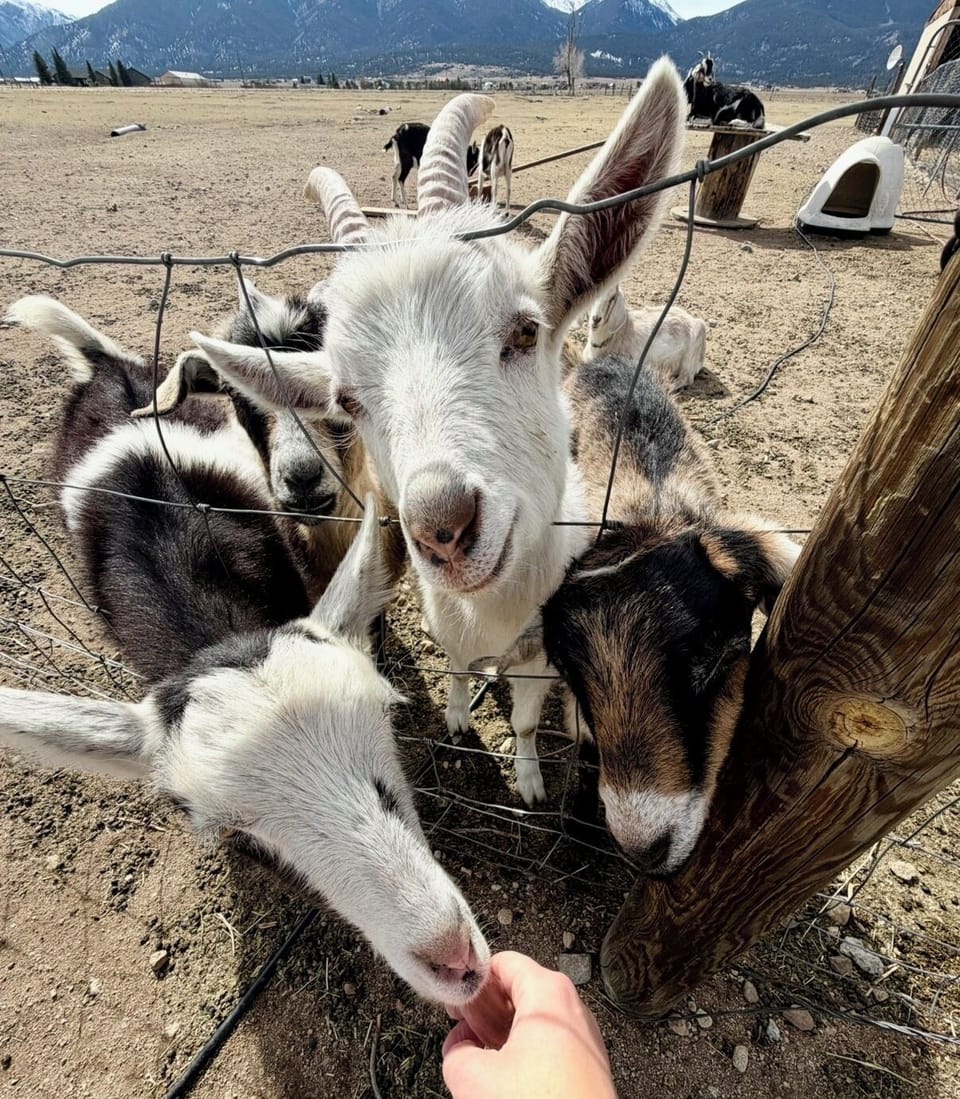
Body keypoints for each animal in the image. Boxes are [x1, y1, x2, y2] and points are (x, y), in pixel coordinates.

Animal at [197, 59, 687, 808]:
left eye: (526, 331)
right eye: (347, 397)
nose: (443, 527)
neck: (491, 612)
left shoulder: (540, 656)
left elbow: (523, 722)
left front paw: (529, 780)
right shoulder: (446, 625)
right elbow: (455, 670)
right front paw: (458, 718)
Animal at [487, 354, 800, 875]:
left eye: (714, 659)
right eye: (569, 670)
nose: (643, 849)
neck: (649, 512)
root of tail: (605, 361)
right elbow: (586, 750)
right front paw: (580, 830)